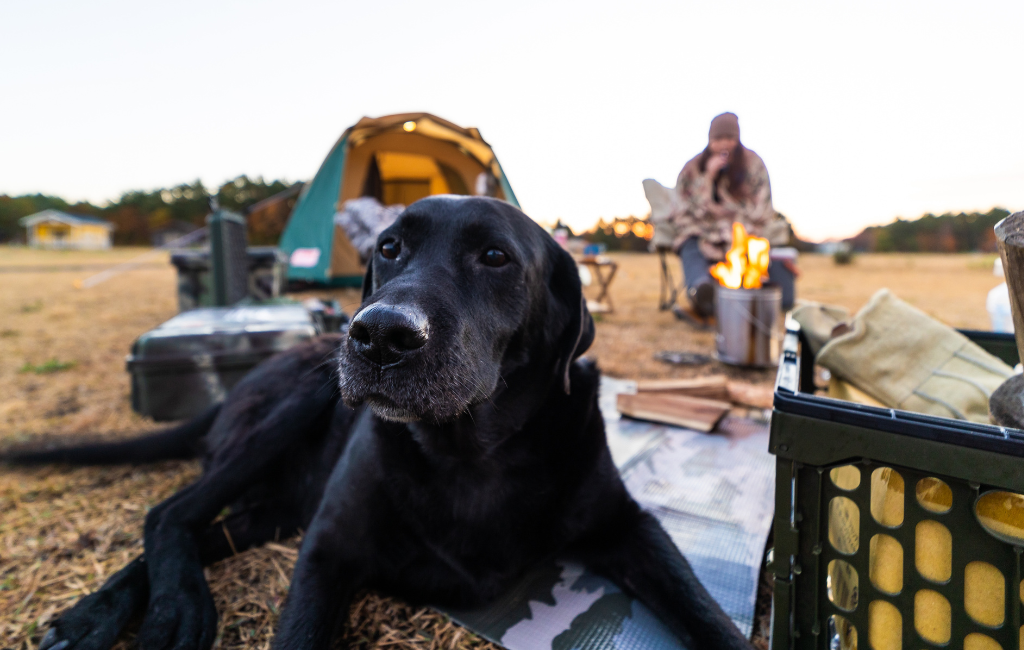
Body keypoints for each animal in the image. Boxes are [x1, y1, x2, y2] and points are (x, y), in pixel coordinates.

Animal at [9, 197, 753, 650]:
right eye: (390, 248)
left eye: (495, 257)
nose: (378, 335)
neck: (469, 452)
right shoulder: (327, 548)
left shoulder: (627, 525)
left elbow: (704, 607)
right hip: (297, 408)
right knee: (171, 512)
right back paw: (157, 611)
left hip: (281, 505)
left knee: (205, 524)